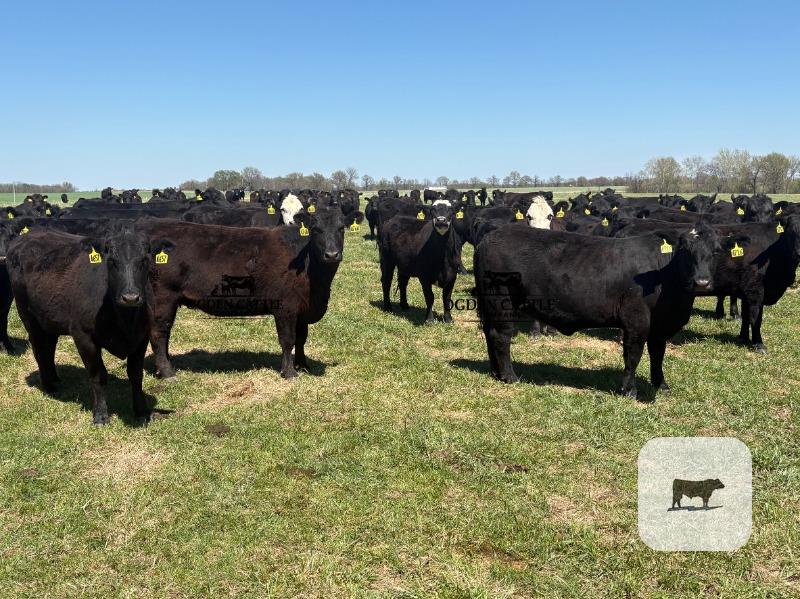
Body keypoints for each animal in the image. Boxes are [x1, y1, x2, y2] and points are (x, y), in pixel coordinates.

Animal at [6, 226, 174, 425]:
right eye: (111, 261)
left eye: (145, 260)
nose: (131, 297)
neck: (125, 320)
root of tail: (27, 235)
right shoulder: (84, 337)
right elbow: (98, 375)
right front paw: (100, 415)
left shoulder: (141, 337)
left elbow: (135, 374)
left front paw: (141, 412)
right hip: (28, 316)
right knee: (39, 349)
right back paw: (49, 386)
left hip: (49, 319)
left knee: (49, 348)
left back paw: (55, 379)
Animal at [136, 205, 363, 379]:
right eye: (316, 229)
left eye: (341, 228)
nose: (332, 254)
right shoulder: (286, 307)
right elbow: (288, 339)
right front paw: (289, 372)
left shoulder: (302, 309)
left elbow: (301, 338)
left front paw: (303, 364)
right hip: (163, 298)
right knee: (159, 333)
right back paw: (167, 372)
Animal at [473, 223, 730, 398]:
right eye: (685, 250)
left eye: (717, 251)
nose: (702, 282)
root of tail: (489, 237)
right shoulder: (636, 320)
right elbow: (633, 354)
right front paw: (629, 390)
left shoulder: (659, 326)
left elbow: (658, 355)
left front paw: (661, 385)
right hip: (501, 303)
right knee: (501, 337)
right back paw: (510, 376)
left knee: (490, 334)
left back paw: (496, 373)